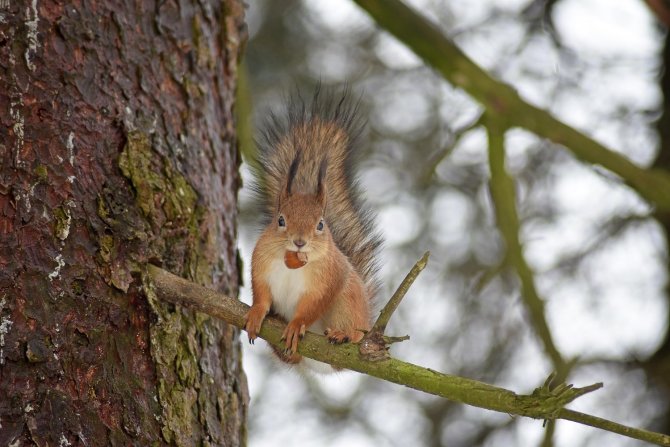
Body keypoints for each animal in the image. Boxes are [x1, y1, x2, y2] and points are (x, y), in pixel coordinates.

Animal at [245, 89, 384, 372]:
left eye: (321, 224)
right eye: (280, 220)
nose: (299, 242)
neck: (292, 262)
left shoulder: (327, 281)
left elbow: (310, 308)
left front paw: (297, 324)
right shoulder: (260, 265)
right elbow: (261, 294)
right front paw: (256, 313)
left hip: (347, 304)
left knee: (352, 335)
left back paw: (343, 335)